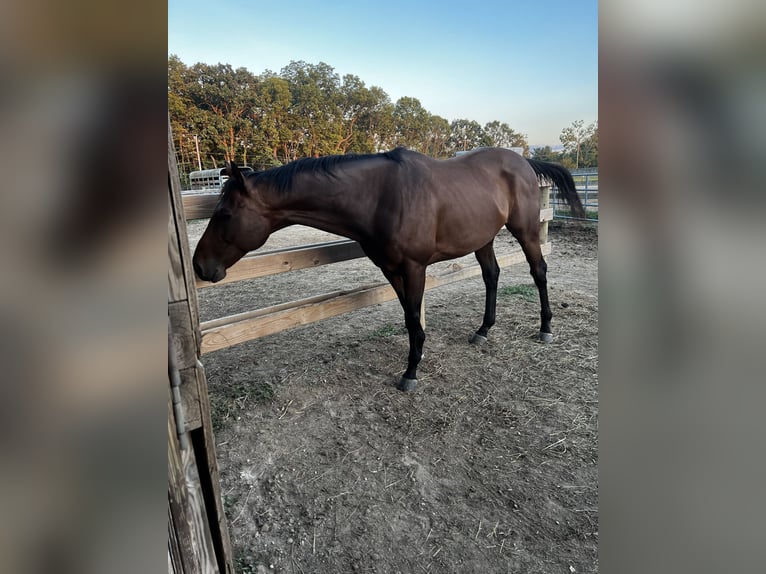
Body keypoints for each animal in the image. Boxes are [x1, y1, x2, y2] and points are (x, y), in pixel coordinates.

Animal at [195, 146, 584, 394]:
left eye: (224, 214)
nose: (200, 266)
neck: (381, 195)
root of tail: (523, 161)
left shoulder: (414, 268)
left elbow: (413, 316)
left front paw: (411, 372)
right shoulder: (390, 269)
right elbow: (408, 315)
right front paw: (416, 360)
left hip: (526, 231)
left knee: (539, 272)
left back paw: (546, 328)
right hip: (483, 237)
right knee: (492, 276)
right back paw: (483, 330)